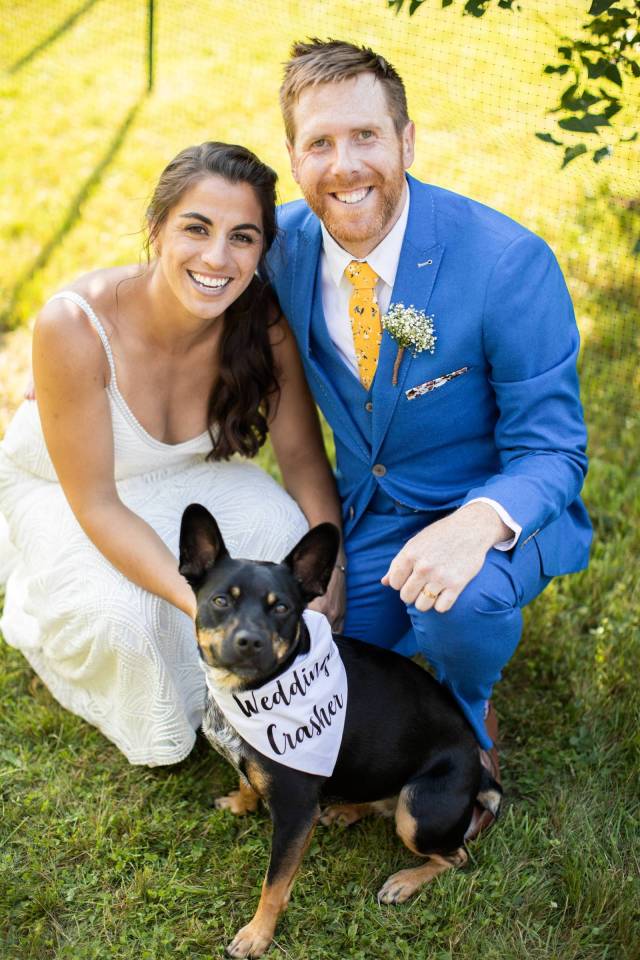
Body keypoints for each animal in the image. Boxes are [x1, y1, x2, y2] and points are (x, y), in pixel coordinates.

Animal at [179, 506, 500, 956]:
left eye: (282, 609)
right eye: (220, 601)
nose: (249, 641)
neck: (253, 691)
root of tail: (479, 770)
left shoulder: (295, 814)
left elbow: (273, 885)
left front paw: (257, 935)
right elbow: (245, 780)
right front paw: (241, 802)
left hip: (418, 811)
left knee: (456, 856)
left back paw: (405, 881)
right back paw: (348, 810)